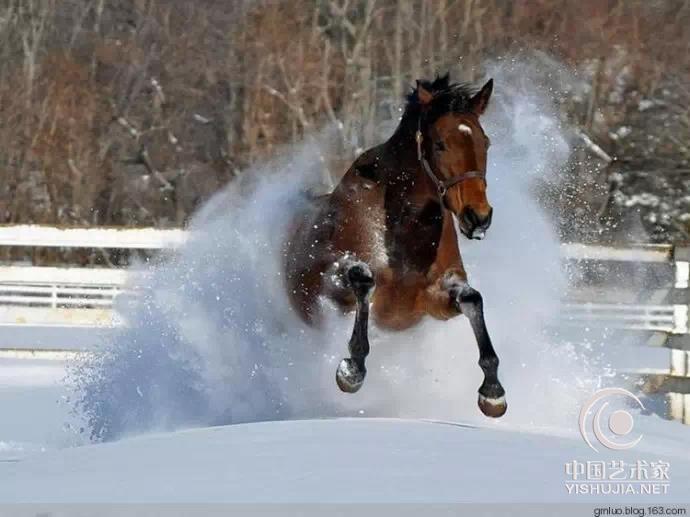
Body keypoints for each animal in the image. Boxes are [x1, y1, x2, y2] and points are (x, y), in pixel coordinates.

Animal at [284, 74, 506, 418]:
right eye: (440, 144)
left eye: (486, 142)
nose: (478, 217)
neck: (404, 226)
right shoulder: (336, 284)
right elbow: (363, 281)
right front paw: (351, 371)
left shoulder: (434, 298)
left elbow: (473, 300)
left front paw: (492, 393)